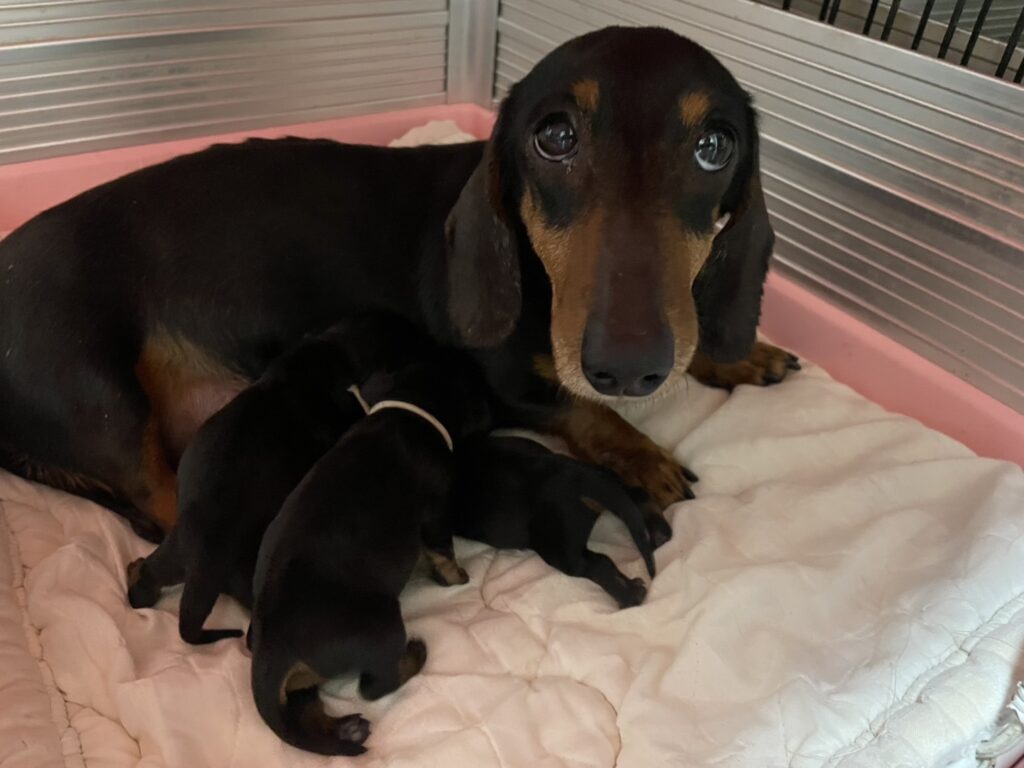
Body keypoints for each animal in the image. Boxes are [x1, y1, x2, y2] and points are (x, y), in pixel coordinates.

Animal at [0, 26, 797, 544]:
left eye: (714, 146)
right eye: (555, 135)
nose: (629, 368)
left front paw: (739, 353)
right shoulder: (507, 380)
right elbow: (584, 411)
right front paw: (640, 454)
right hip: (99, 400)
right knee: (164, 510)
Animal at [248, 353, 490, 755]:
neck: (408, 408)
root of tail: (271, 648)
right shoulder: (436, 512)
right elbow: (443, 550)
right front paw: (457, 576)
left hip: (303, 678)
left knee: (305, 709)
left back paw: (346, 731)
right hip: (383, 626)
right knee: (374, 686)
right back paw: (413, 657)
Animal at [451, 436, 656, 608]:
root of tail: (576, 474)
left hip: (557, 547)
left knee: (596, 565)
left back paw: (629, 596)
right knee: (604, 559)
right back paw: (633, 586)